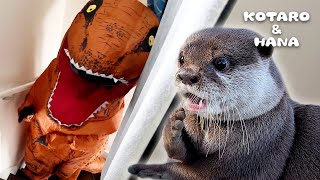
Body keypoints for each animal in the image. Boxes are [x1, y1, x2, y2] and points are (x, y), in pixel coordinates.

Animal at [128, 27, 320, 179]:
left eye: (221, 63)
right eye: (182, 58)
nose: (186, 76)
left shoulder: (259, 150)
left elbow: (190, 171)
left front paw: (147, 168)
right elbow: (185, 154)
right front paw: (173, 126)